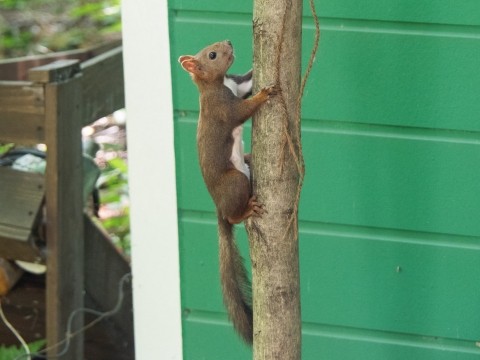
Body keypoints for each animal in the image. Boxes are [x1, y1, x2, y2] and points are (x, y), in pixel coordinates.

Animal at [178, 39, 276, 344]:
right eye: (212, 55)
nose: (229, 42)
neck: (217, 84)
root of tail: (219, 208)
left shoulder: (237, 85)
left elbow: (247, 82)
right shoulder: (223, 108)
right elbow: (242, 111)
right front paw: (265, 94)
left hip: (245, 163)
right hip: (235, 183)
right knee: (234, 215)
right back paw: (244, 211)